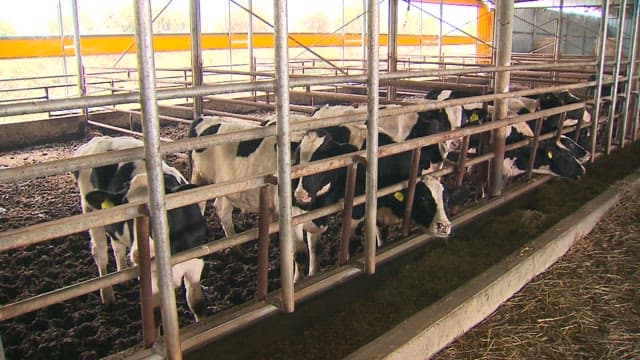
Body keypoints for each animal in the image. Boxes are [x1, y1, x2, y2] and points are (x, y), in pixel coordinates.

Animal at [74, 136, 208, 322]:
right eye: (127, 211)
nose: (141, 253)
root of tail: (99, 138)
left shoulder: (195, 262)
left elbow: (197, 303)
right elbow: (156, 315)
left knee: (117, 246)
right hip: (90, 213)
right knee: (99, 252)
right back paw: (107, 297)